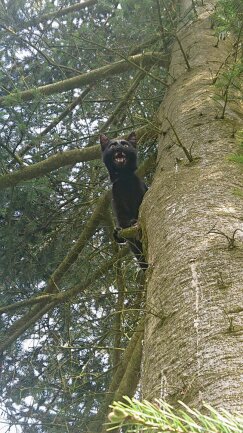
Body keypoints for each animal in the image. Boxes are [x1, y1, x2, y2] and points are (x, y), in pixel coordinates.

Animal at [99, 131, 147, 270]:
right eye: (112, 145)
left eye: (125, 145)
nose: (119, 146)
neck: (124, 180)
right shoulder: (118, 205)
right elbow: (124, 221)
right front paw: (119, 232)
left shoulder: (141, 195)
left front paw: (134, 221)